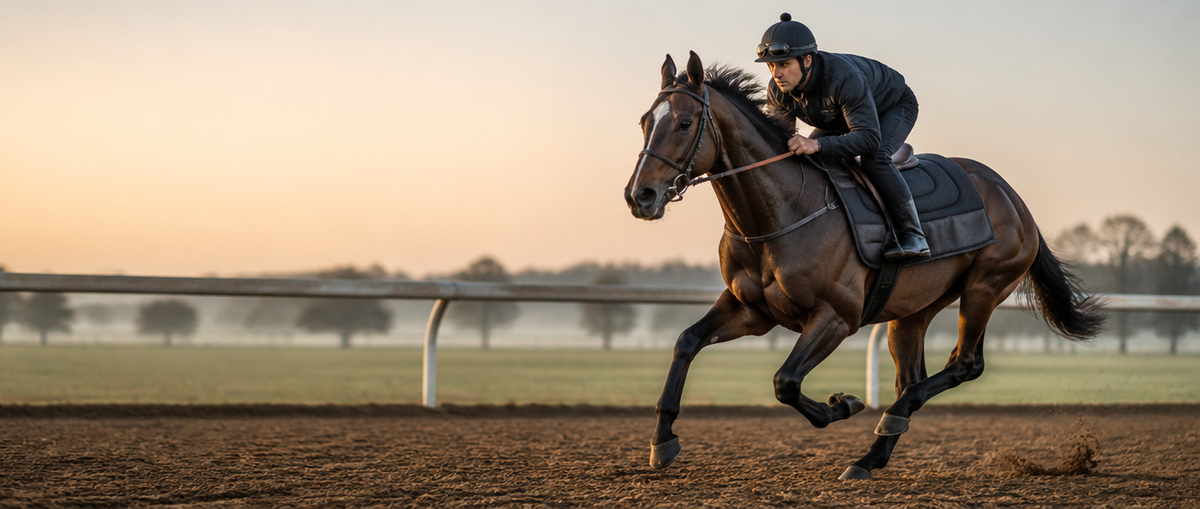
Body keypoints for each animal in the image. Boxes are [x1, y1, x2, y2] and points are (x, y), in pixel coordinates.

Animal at [624, 52, 1104, 480]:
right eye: (646, 121)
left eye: (684, 123)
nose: (639, 196)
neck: (782, 210)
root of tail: (1014, 198)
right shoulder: (752, 310)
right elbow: (686, 342)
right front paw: (662, 440)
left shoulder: (837, 316)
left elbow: (785, 381)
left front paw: (843, 405)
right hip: (914, 310)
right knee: (912, 376)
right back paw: (871, 455)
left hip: (985, 286)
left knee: (965, 364)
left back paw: (890, 418)